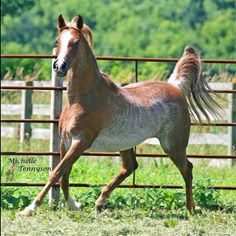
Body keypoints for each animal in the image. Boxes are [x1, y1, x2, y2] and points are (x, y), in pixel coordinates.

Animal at [19, 13, 220, 215]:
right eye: (57, 40)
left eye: (76, 42)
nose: (59, 66)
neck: (82, 99)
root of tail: (176, 87)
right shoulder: (65, 141)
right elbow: (64, 175)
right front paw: (73, 205)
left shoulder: (81, 141)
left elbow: (56, 173)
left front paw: (30, 208)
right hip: (126, 143)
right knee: (130, 166)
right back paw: (100, 201)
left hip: (173, 145)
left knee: (187, 169)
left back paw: (191, 208)